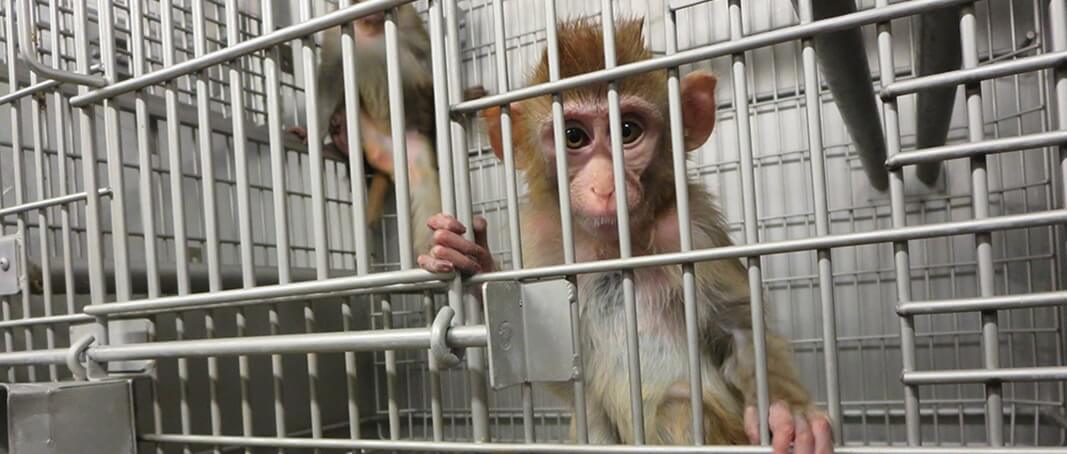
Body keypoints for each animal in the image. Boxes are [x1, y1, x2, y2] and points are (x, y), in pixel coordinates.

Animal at [416, 17, 832, 452]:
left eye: (628, 130)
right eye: (574, 137)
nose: (606, 185)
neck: (613, 248)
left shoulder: (692, 230)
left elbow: (740, 329)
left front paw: (792, 412)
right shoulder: (547, 245)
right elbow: (554, 366)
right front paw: (468, 256)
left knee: (676, 408)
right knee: (594, 415)